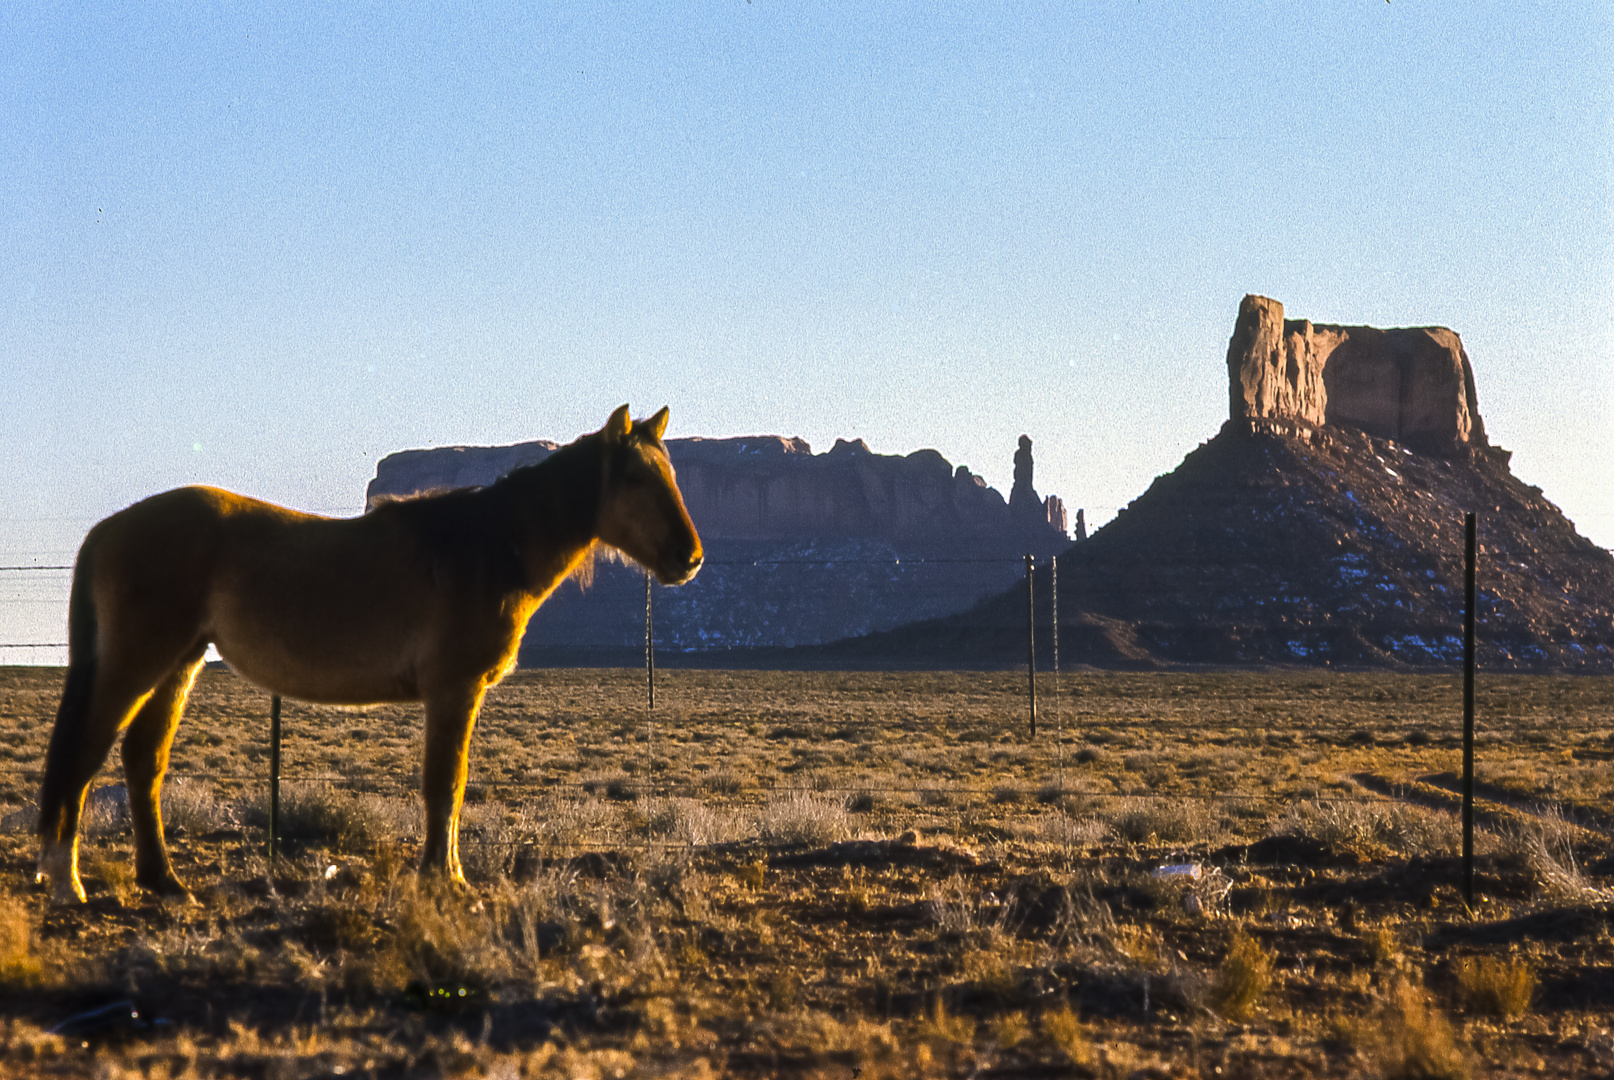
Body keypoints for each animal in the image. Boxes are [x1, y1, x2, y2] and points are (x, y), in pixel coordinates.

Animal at [37, 403, 700, 904]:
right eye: (635, 478)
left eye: (672, 474)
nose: (688, 558)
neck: (483, 548)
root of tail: (108, 529)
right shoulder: (453, 690)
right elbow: (445, 784)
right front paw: (445, 879)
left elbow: (451, 786)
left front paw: (445, 873)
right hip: (138, 663)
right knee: (85, 752)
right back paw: (67, 882)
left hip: (179, 664)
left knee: (142, 760)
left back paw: (165, 882)